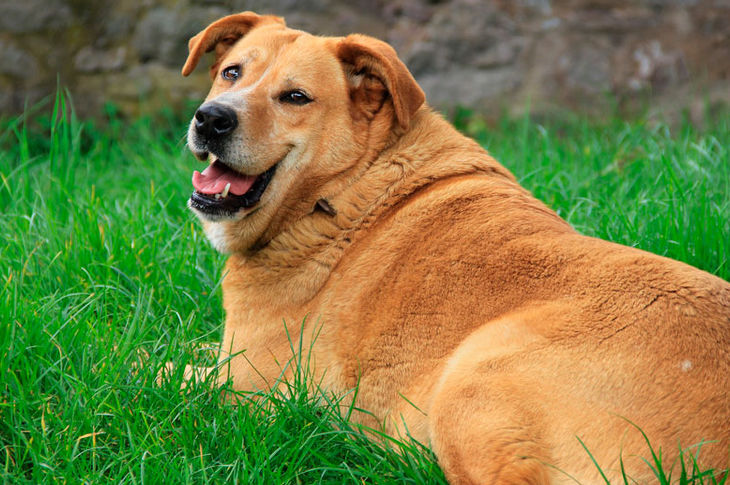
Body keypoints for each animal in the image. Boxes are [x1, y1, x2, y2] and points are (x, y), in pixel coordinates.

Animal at [178, 12, 728, 484]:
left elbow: (164, 372)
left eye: (295, 96)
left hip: (472, 377)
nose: (211, 119)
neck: (342, 188)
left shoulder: (246, 383)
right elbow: (174, 347)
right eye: (231, 73)